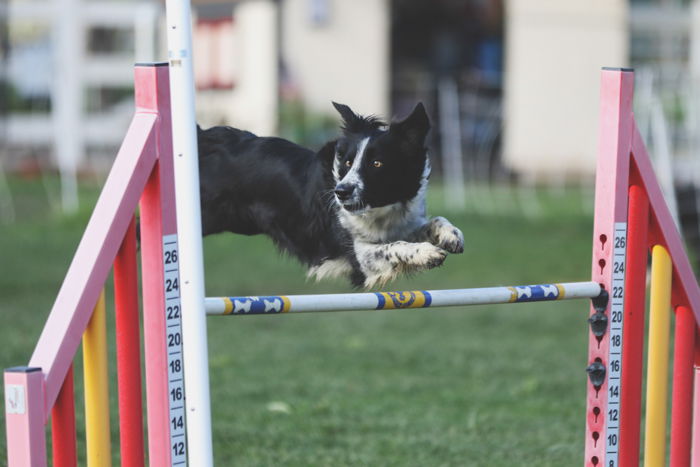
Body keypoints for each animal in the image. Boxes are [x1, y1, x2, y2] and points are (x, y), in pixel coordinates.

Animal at [197, 101, 462, 288]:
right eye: (348, 162)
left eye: (377, 163)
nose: (341, 192)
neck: (380, 209)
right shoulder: (360, 257)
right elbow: (395, 246)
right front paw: (427, 252)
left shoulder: (401, 225)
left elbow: (432, 222)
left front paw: (451, 235)